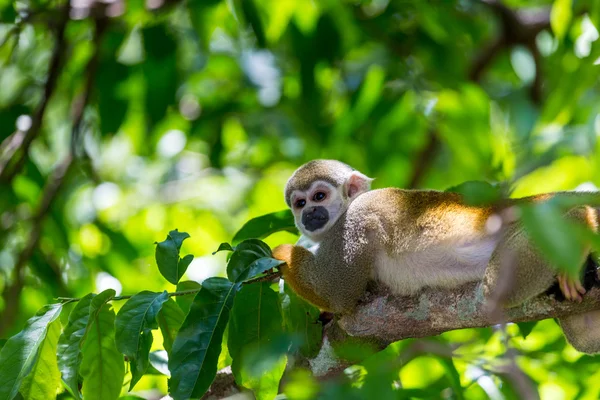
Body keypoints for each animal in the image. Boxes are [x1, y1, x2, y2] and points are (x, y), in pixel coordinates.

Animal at [274, 159, 600, 354]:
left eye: (319, 197)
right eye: (300, 203)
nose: (309, 215)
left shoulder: (356, 217)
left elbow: (337, 291)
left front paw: (279, 253)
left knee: (495, 288)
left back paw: (582, 219)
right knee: (586, 337)